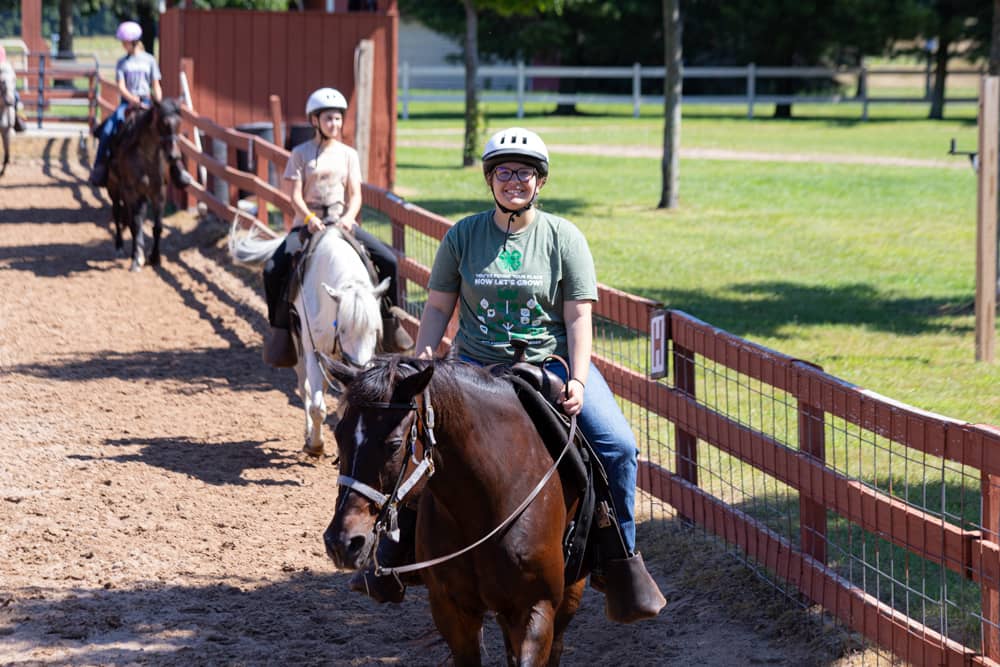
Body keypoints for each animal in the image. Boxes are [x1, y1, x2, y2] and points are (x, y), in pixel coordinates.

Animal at [106, 96, 191, 272]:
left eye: (179, 123)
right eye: (163, 123)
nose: (174, 157)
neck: (146, 156)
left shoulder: (158, 193)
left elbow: (157, 227)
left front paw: (154, 257)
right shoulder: (131, 191)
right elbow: (135, 223)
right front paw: (136, 259)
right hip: (114, 188)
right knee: (117, 213)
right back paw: (120, 246)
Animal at [229, 222, 388, 456]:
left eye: (375, 331)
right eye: (342, 329)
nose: (360, 370)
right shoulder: (313, 351)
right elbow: (316, 407)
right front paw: (315, 445)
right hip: (299, 353)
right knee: (305, 389)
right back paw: (308, 433)